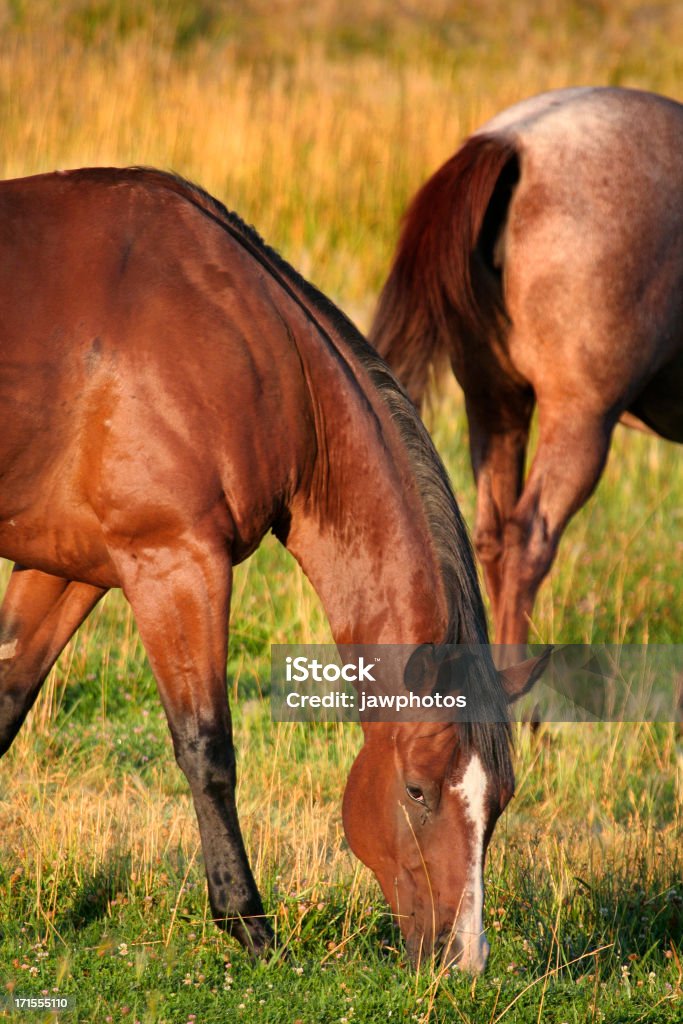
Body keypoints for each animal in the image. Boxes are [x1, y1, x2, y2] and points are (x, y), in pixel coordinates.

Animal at [0, 165, 544, 966]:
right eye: (417, 790)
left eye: (498, 801)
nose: (463, 961)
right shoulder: (174, 563)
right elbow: (207, 747)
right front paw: (249, 924)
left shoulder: (70, 569)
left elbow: (5, 708)